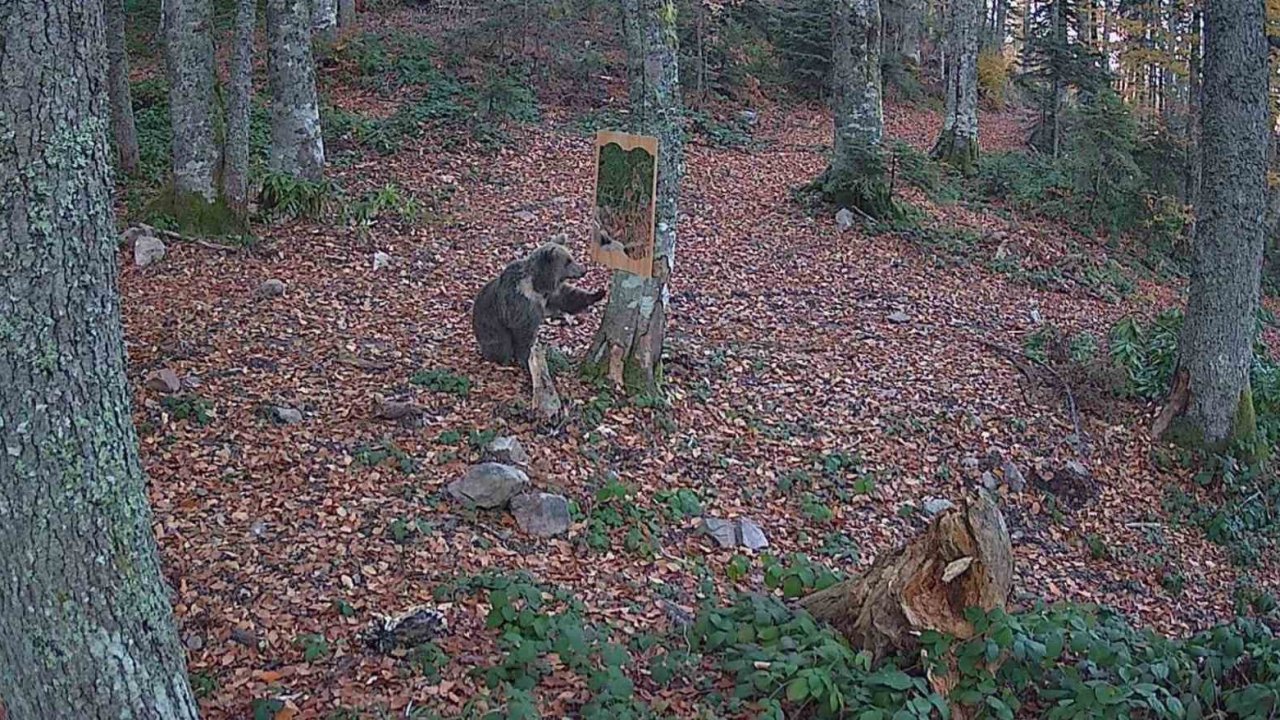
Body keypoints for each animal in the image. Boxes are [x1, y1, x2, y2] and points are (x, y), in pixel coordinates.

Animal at [473, 242, 606, 366]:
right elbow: (524, 331)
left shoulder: (549, 295)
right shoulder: (522, 302)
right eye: (568, 261)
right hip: (491, 324)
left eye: (571, 257)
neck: (538, 285)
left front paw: (598, 293)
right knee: (501, 344)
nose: (583, 270)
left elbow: (568, 298)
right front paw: (526, 359)